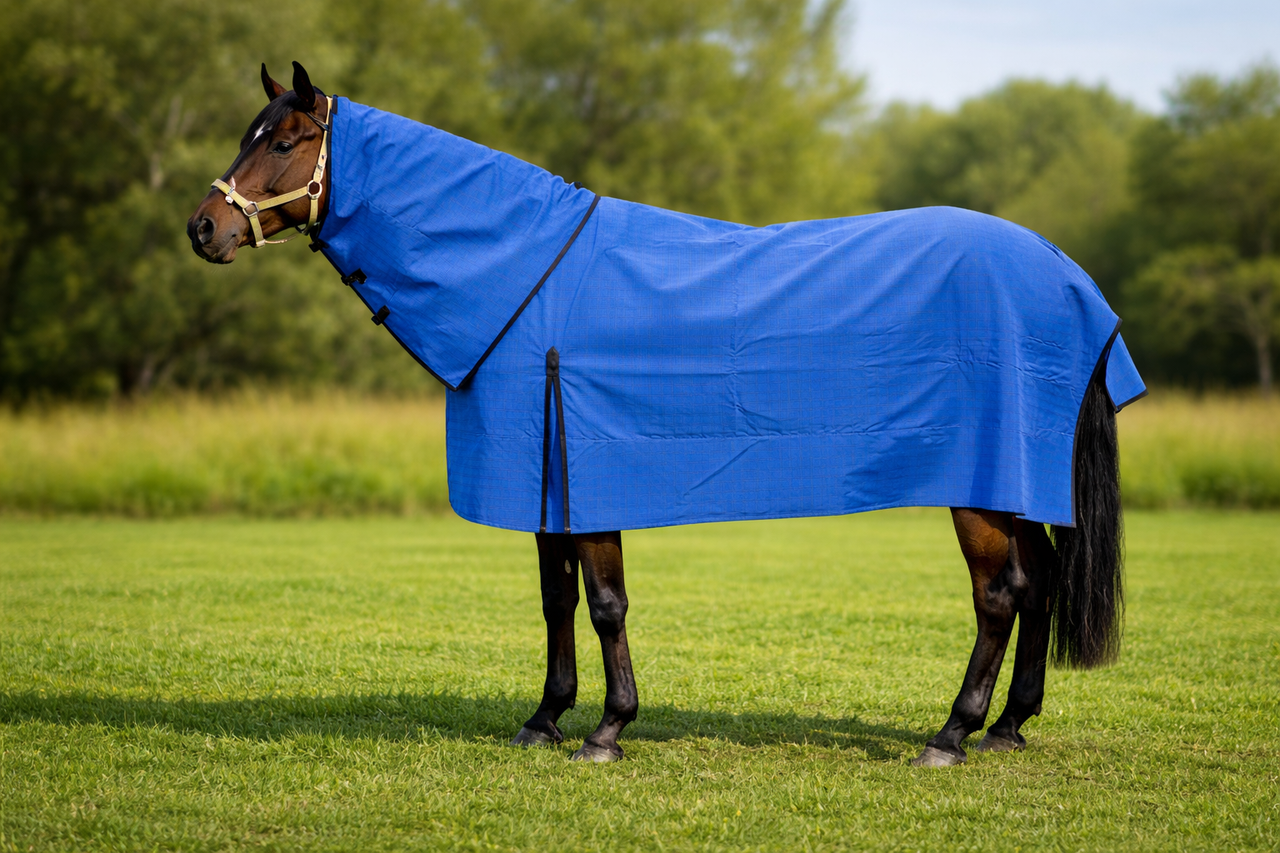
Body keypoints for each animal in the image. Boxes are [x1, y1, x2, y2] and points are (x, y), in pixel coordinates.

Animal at [188, 62, 1142, 767]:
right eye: (247, 135)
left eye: (288, 139)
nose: (203, 229)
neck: (526, 275)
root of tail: (1065, 272)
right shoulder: (546, 483)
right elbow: (557, 601)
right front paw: (545, 718)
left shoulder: (587, 474)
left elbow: (605, 603)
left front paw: (609, 730)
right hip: (1014, 481)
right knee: (1041, 579)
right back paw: (1010, 725)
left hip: (979, 484)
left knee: (1000, 593)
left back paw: (953, 732)